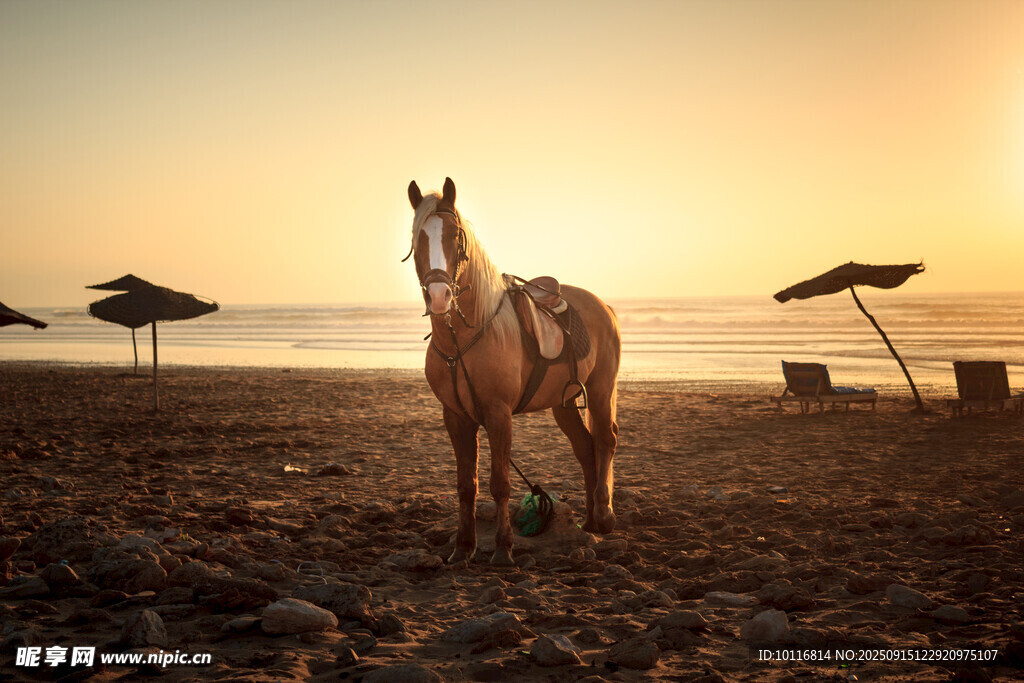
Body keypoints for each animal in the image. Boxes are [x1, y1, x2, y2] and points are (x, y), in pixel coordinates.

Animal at [406, 177, 621, 566]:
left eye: (456, 237)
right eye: (418, 239)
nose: (439, 296)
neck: (466, 338)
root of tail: (603, 306)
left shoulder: (498, 414)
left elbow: (500, 483)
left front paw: (503, 549)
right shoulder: (456, 417)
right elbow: (467, 485)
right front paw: (463, 548)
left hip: (600, 390)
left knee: (606, 441)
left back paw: (605, 516)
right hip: (564, 403)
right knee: (586, 447)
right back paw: (590, 521)